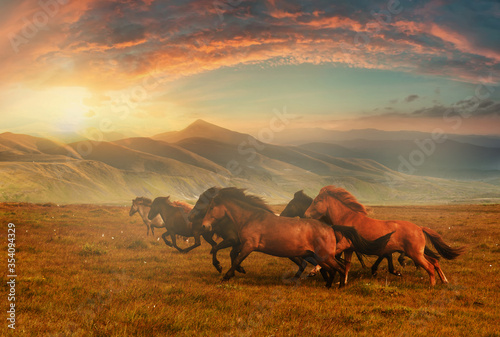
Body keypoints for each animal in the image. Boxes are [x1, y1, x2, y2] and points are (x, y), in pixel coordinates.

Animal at [201, 186, 392, 286]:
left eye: (211, 208)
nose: (204, 226)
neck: (251, 217)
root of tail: (330, 227)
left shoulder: (249, 245)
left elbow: (236, 258)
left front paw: (225, 274)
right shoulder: (240, 242)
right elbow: (228, 253)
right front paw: (227, 269)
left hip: (324, 256)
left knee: (338, 267)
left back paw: (336, 285)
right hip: (318, 256)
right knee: (332, 268)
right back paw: (328, 284)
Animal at [304, 185, 468, 284]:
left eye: (317, 201)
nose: (305, 215)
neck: (347, 219)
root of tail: (419, 228)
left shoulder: (343, 245)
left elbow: (327, 257)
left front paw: (312, 272)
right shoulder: (349, 249)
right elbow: (347, 266)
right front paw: (342, 282)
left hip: (415, 254)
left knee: (429, 266)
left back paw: (432, 285)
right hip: (417, 253)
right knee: (434, 261)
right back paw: (444, 281)